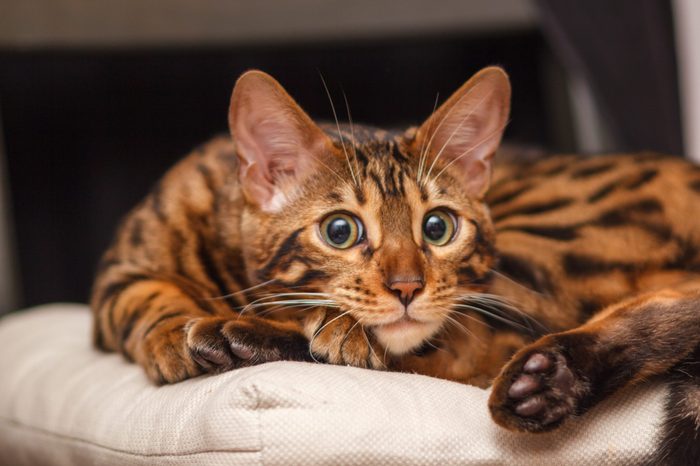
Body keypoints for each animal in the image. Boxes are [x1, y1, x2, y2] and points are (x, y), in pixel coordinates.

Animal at [91, 65, 700, 462]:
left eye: (438, 227)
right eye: (340, 231)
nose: (408, 286)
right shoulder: (119, 272)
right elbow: (144, 297)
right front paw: (170, 335)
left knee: (472, 351)